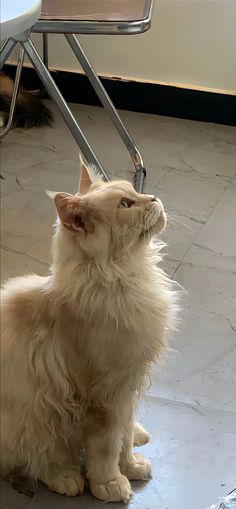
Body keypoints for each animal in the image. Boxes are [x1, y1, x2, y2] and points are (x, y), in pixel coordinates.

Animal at [0, 159, 177, 500]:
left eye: (135, 191)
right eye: (125, 204)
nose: (154, 198)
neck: (125, 275)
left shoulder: (127, 387)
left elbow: (123, 436)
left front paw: (131, 465)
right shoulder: (103, 396)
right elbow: (106, 448)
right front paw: (110, 483)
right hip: (39, 412)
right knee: (34, 459)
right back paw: (65, 478)